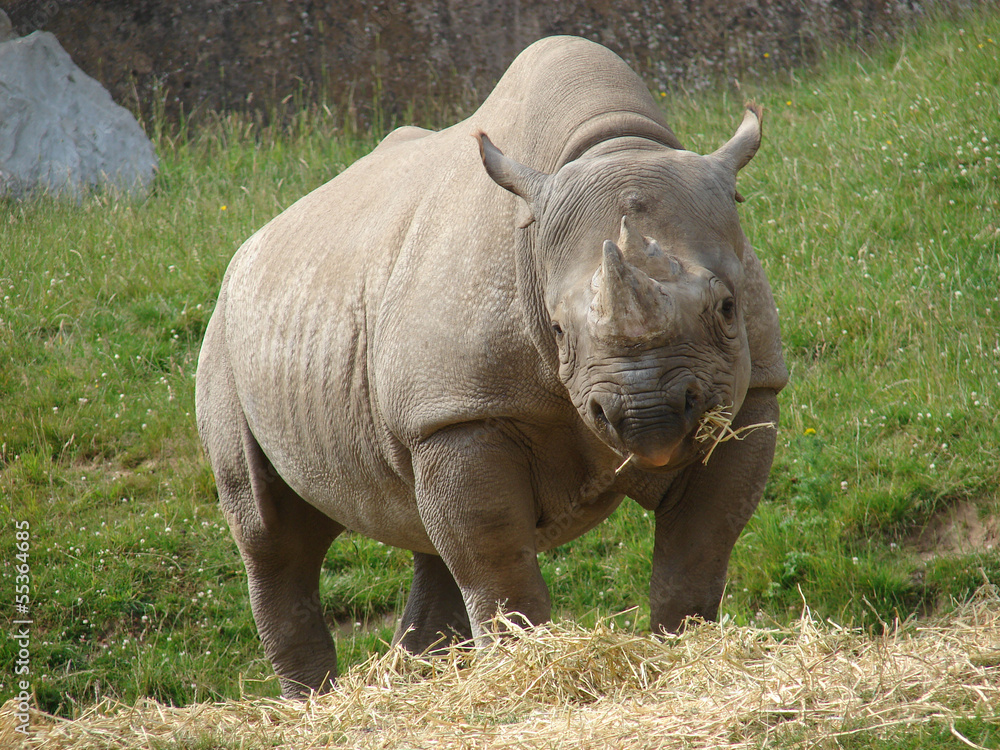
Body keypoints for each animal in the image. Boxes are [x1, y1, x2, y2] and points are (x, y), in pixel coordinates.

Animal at [196, 35, 786, 698]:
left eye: (728, 308)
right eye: (557, 331)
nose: (649, 417)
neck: (612, 144)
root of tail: (246, 249)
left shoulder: (753, 390)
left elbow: (701, 545)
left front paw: (684, 651)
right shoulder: (458, 411)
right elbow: (495, 560)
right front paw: (525, 668)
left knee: (422, 529)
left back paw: (411, 680)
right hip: (226, 333)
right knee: (273, 537)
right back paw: (315, 704)